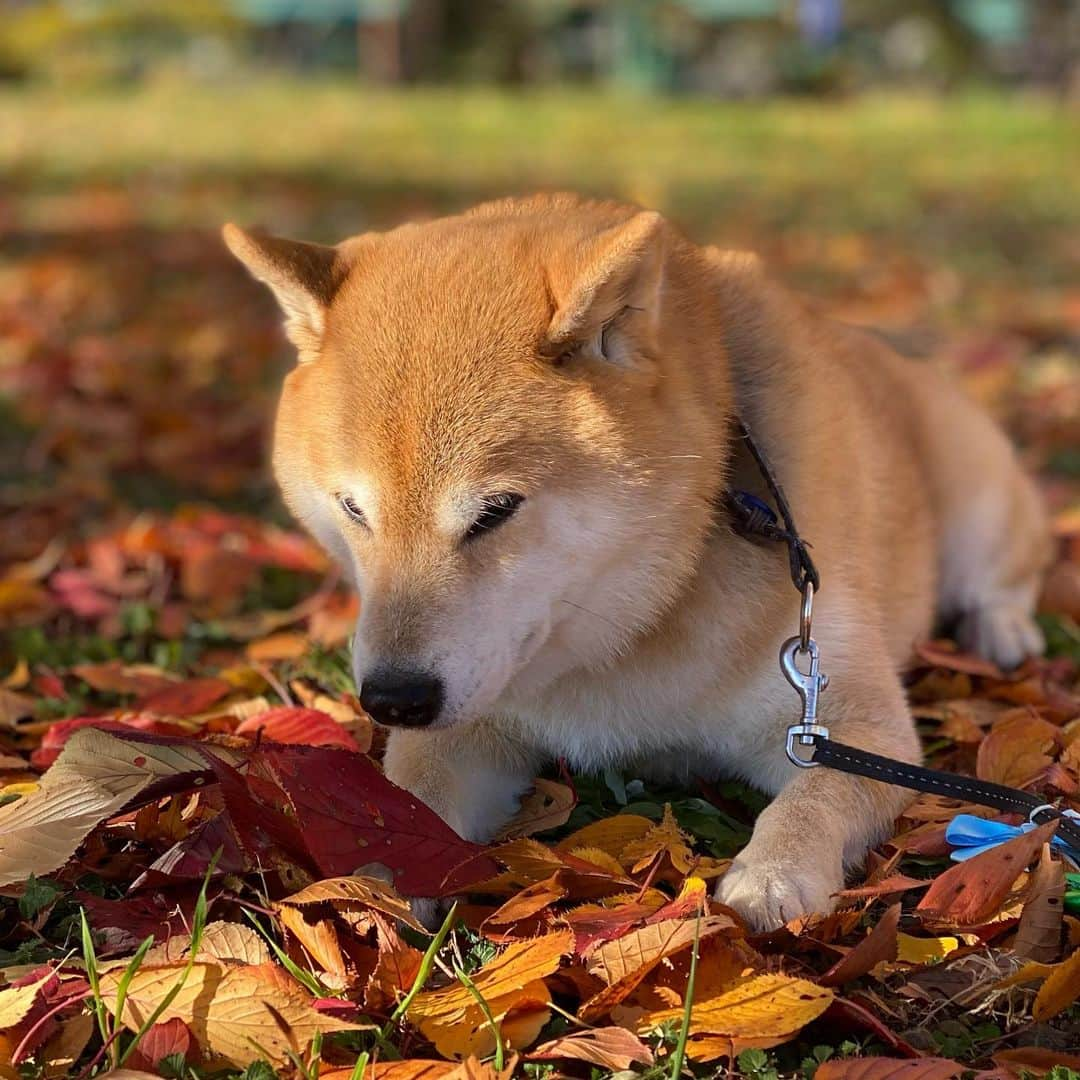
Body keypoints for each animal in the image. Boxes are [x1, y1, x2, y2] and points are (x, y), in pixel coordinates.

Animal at [225, 196, 1045, 928]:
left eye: (495, 511)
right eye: (354, 509)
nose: (394, 699)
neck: (631, 627)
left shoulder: (842, 724)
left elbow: (815, 799)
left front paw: (775, 873)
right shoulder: (472, 719)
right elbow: (413, 792)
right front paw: (377, 882)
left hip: (973, 501)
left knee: (1007, 576)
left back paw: (1002, 631)